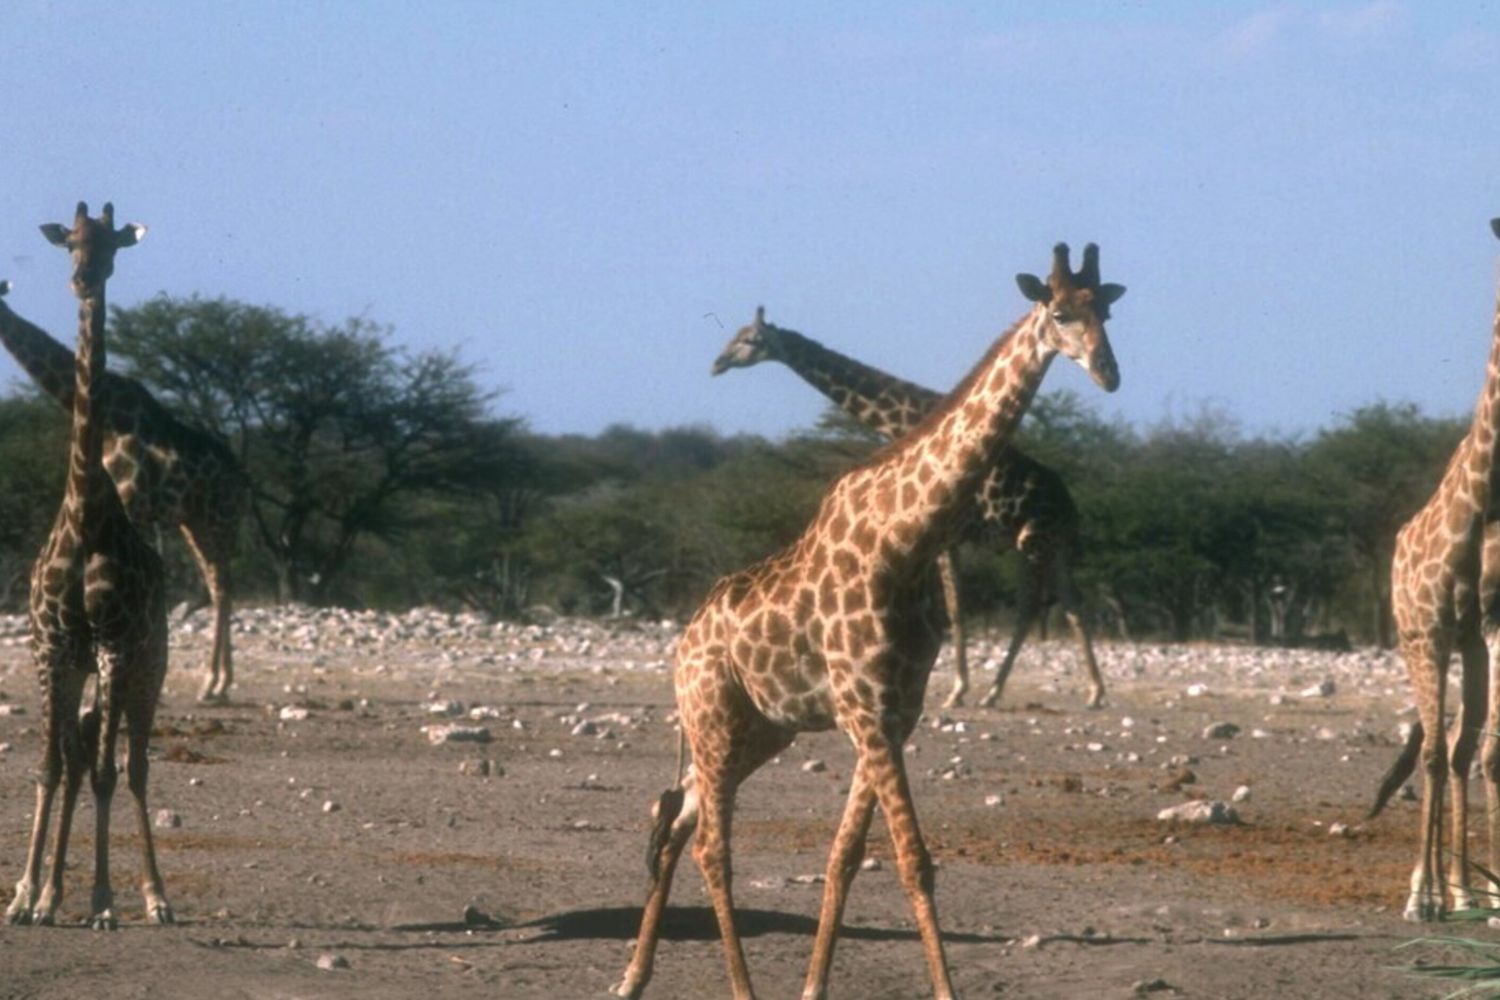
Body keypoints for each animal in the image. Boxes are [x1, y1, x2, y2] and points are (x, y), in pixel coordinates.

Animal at [0, 290, 247, 702]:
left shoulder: (128, 500)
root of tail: (242, 478)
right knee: (217, 585)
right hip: (193, 522)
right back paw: (216, 682)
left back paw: (215, 683)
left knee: (223, 585)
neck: (113, 418)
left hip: (220, 518)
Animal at [711, 309, 1106, 709]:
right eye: (735, 336)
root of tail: (1071, 509)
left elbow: (955, 610)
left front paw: (956, 690)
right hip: (1052, 546)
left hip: (1033, 543)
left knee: (1030, 608)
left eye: (750, 340)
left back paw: (995, 692)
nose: (717, 364)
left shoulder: (946, 538)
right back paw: (1093, 692)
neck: (902, 420)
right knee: (1073, 604)